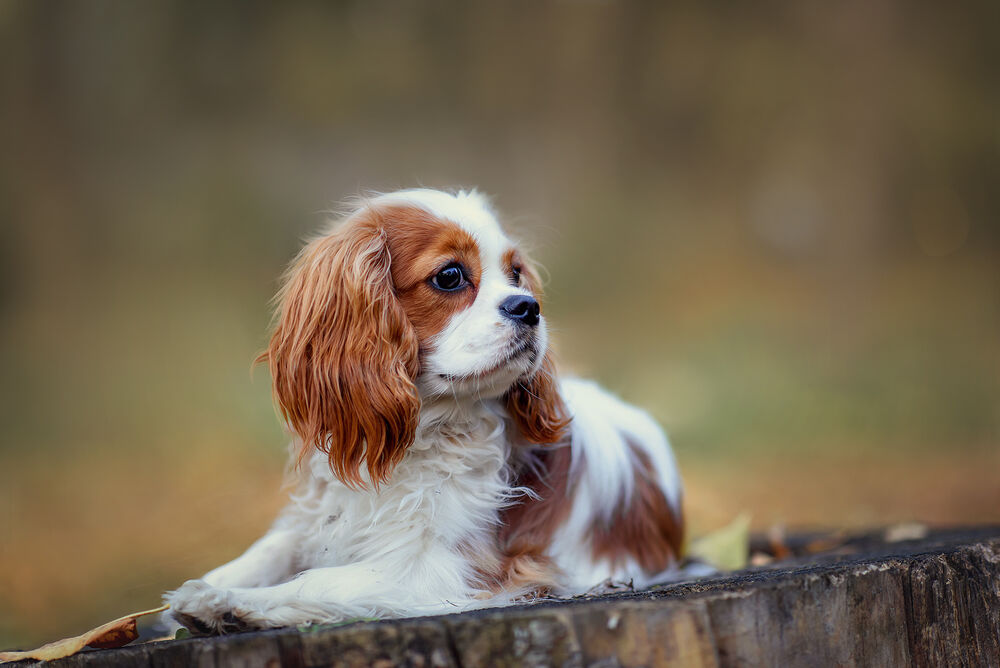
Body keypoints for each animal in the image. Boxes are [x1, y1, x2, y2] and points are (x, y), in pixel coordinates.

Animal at [164, 187, 684, 632]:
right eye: (450, 276)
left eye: (516, 274)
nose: (529, 307)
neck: (428, 426)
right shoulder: (331, 516)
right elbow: (272, 547)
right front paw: (208, 588)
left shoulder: (440, 571)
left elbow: (316, 581)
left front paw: (227, 603)